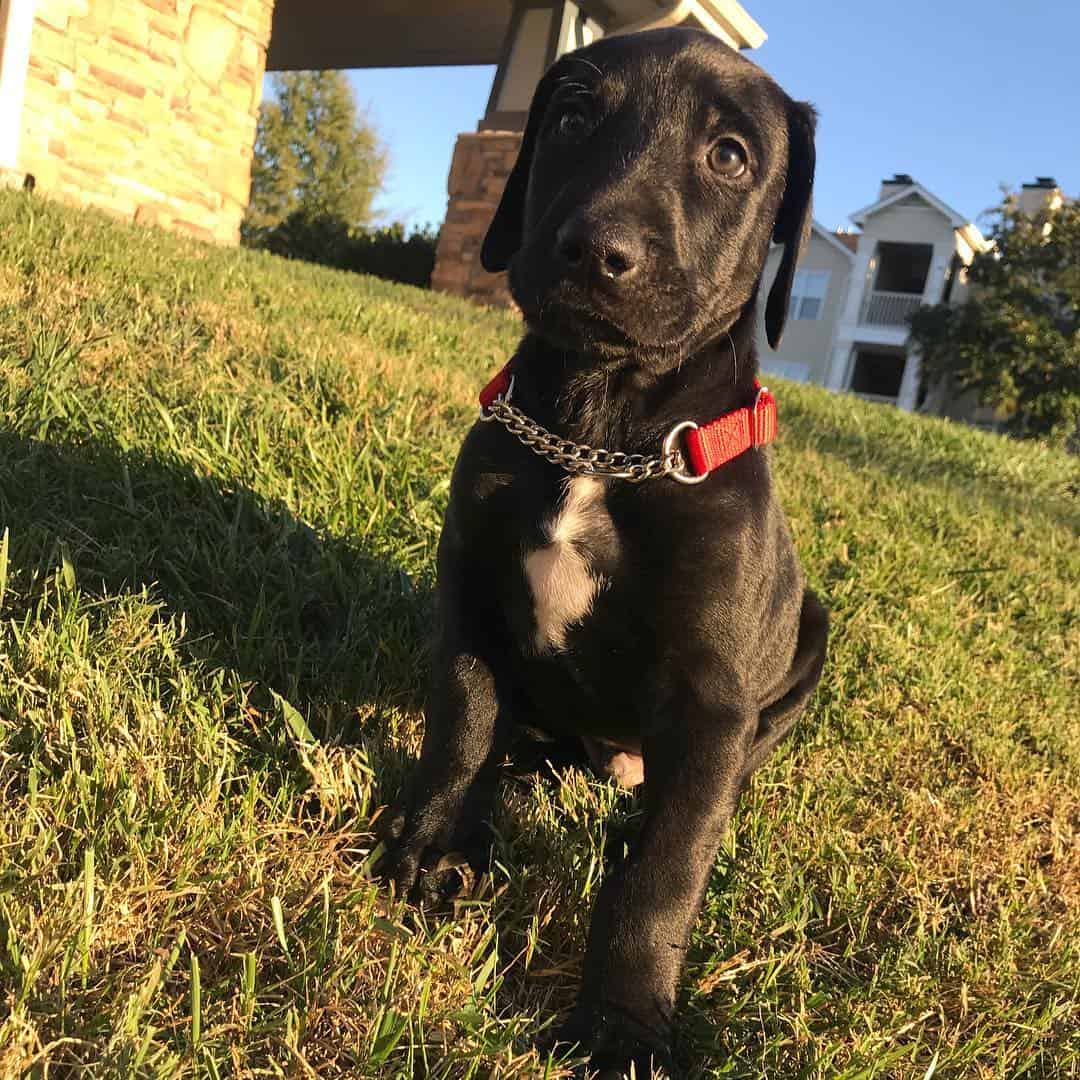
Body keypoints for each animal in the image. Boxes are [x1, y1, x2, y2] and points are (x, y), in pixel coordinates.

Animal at [384, 27, 829, 1080]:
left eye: (730, 156)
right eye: (574, 115)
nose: (596, 250)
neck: (601, 436)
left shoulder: (711, 701)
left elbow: (662, 874)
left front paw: (624, 1022)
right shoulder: (470, 593)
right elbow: (463, 720)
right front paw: (435, 844)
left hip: (810, 643)